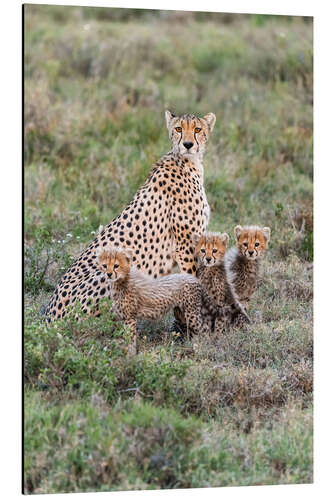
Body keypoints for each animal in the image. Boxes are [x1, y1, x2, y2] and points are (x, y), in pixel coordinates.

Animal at [44, 110, 215, 322]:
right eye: (178, 129)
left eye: (197, 129)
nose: (188, 144)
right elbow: (193, 281)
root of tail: (48, 317)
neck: (187, 162)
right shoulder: (185, 246)